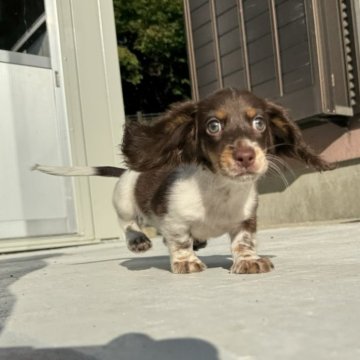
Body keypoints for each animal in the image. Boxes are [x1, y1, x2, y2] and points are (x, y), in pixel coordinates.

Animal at [35, 88, 334, 274]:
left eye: (259, 122)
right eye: (213, 125)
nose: (246, 156)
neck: (219, 190)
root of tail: (127, 171)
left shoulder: (246, 219)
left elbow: (244, 241)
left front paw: (248, 261)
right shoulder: (173, 220)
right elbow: (179, 241)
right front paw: (186, 262)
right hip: (124, 201)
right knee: (127, 223)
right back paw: (138, 240)